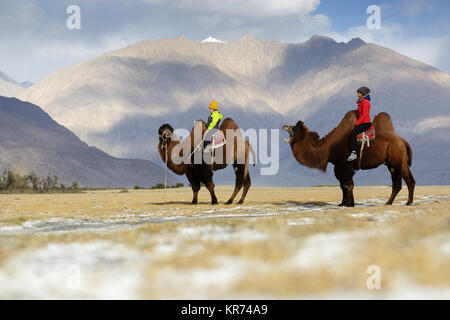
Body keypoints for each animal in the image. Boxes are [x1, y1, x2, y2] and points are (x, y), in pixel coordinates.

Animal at [284, 109, 416, 205]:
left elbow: (348, 184)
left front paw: (350, 204)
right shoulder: (338, 166)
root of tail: (403, 141)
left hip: (395, 162)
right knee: (409, 180)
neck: (328, 148)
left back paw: (389, 203)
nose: (284, 126)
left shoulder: (344, 165)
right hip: (398, 162)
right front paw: (342, 203)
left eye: (294, 128)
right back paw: (408, 202)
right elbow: (342, 185)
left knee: (398, 184)